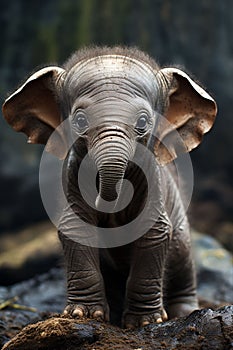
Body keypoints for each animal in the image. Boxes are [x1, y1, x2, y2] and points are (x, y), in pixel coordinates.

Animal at [1, 46, 217, 328]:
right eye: (80, 121)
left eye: (143, 122)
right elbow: (76, 227)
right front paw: (84, 316)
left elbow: (154, 231)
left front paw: (145, 323)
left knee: (182, 260)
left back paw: (183, 313)